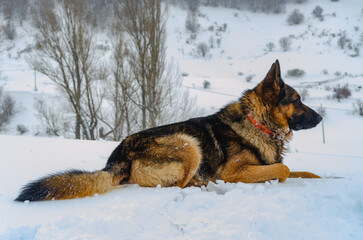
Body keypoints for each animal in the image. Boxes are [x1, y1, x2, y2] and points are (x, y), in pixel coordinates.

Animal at [14, 59, 322, 201]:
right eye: (297, 100)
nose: (321, 118)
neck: (259, 123)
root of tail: (117, 158)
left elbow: (300, 171)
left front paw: (321, 177)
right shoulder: (234, 172)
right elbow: (283, 170)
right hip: (188, 144)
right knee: (178, 185)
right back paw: (205, 187)